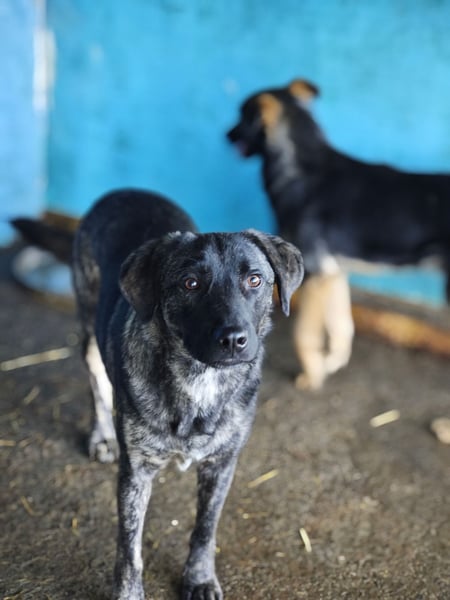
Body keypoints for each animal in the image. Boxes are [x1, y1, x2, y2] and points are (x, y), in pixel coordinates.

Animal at [12, 188, 304, 599]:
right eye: (191, 284)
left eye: (255, 279)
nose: (233, 339)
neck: (199, 380)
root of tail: (122, 192)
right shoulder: (135, 473)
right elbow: (129, 547)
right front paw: (129, 593)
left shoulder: (221, 465)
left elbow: (204, 529)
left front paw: (199, 578)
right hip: (88, 329)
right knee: (97, 383)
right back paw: (102, 436)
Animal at [227, 78, 450, 389]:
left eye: (242, 117)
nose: (226, 135)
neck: (304, 168)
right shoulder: (333, 273)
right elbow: (342, 326)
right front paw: (331, 364)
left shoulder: (314, 274)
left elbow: (304, 334)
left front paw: (312, 376)